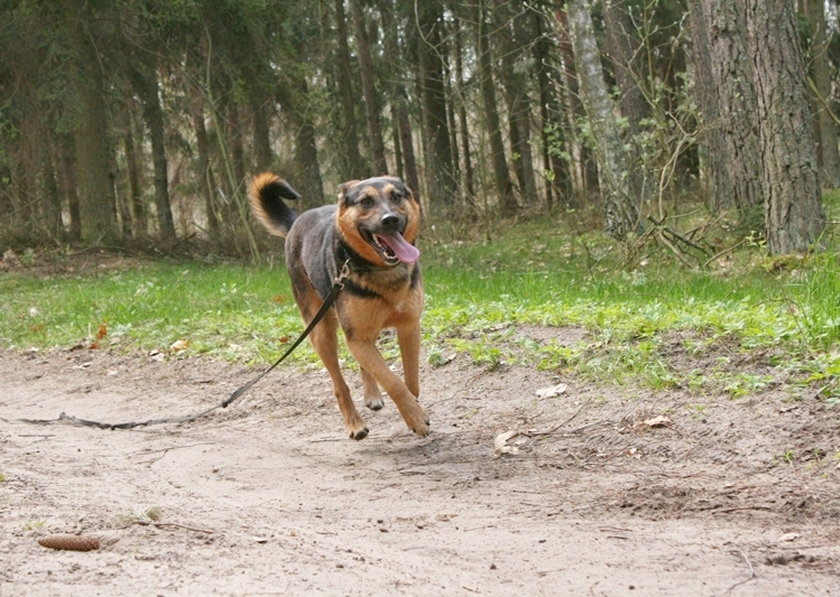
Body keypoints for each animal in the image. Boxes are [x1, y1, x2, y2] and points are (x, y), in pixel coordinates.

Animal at [244, 172, 426, 438]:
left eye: (397, 197)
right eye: (365, 201)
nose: (390, 219)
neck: (382, 272)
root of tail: (298, 220)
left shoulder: (408, 327)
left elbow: (409, 380)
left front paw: (413, 411)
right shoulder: (356, 337)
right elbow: (392, 381)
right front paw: (415, 417)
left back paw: (372, 394)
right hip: (321, 332)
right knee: (339, 384)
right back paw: (354, 424)